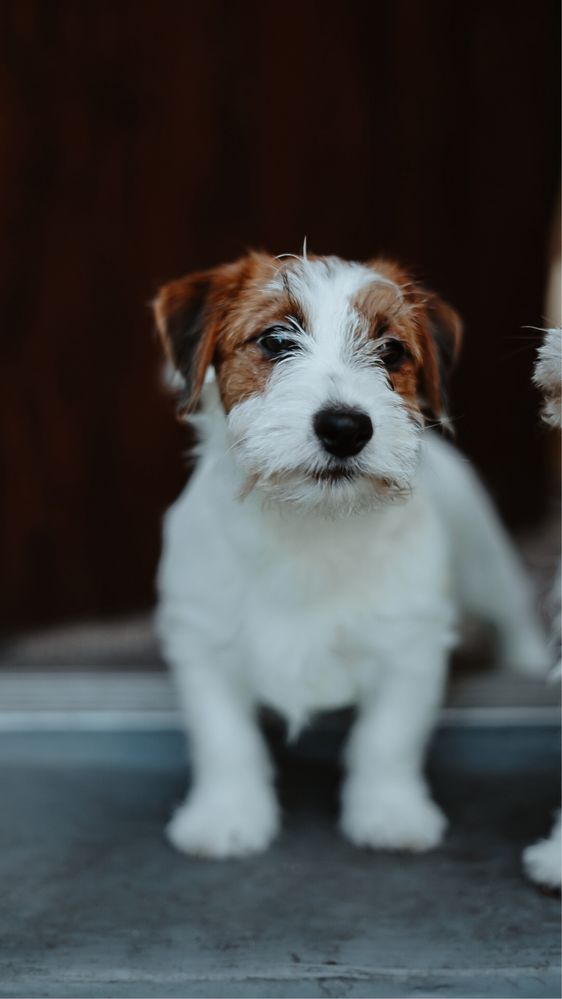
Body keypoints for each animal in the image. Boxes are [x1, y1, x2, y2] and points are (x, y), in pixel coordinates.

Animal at [153, 252, 548, 860]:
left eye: (392, 351)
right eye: (275, 340)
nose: (345, 427)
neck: (309, 526)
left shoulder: (411, 647)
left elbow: (386, 740)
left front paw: (389, 813)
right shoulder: (202, 643)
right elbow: (226, 741)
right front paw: (227, 816)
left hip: (487, 560)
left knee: (514, 606)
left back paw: (527, 661)